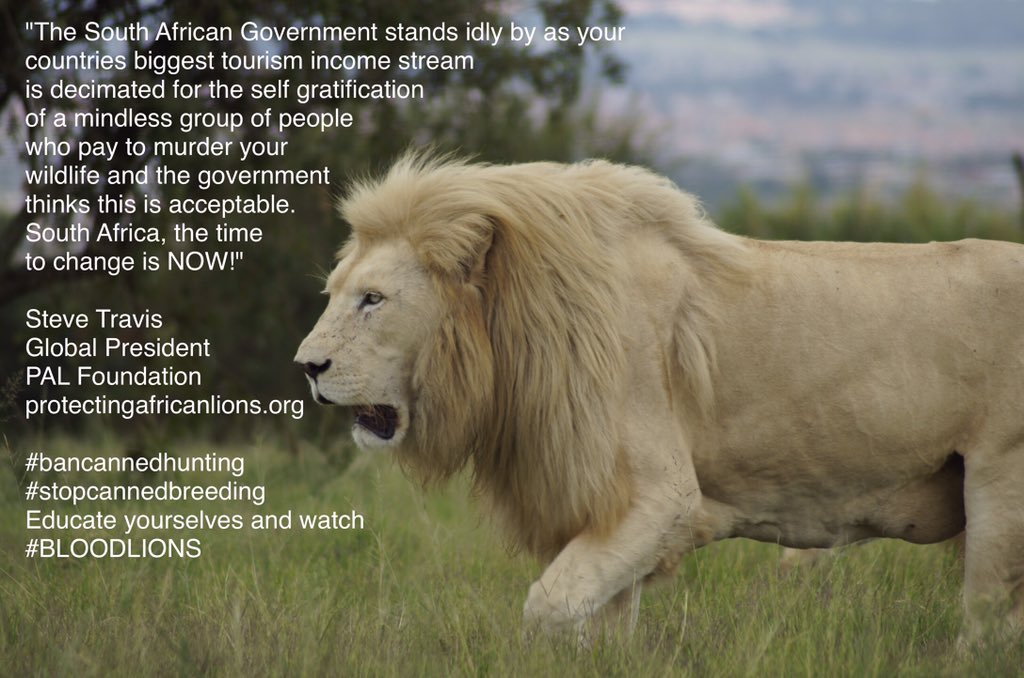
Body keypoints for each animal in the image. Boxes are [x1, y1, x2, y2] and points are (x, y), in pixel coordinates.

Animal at [295, 153, 1024, 643]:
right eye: (334, 292)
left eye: (373, 299)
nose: (307, 367)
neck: (513, 333)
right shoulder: (607, 503)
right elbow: (603, 622)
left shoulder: (666, 497)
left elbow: (548, 607)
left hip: (1000, 485)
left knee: (986, 623)